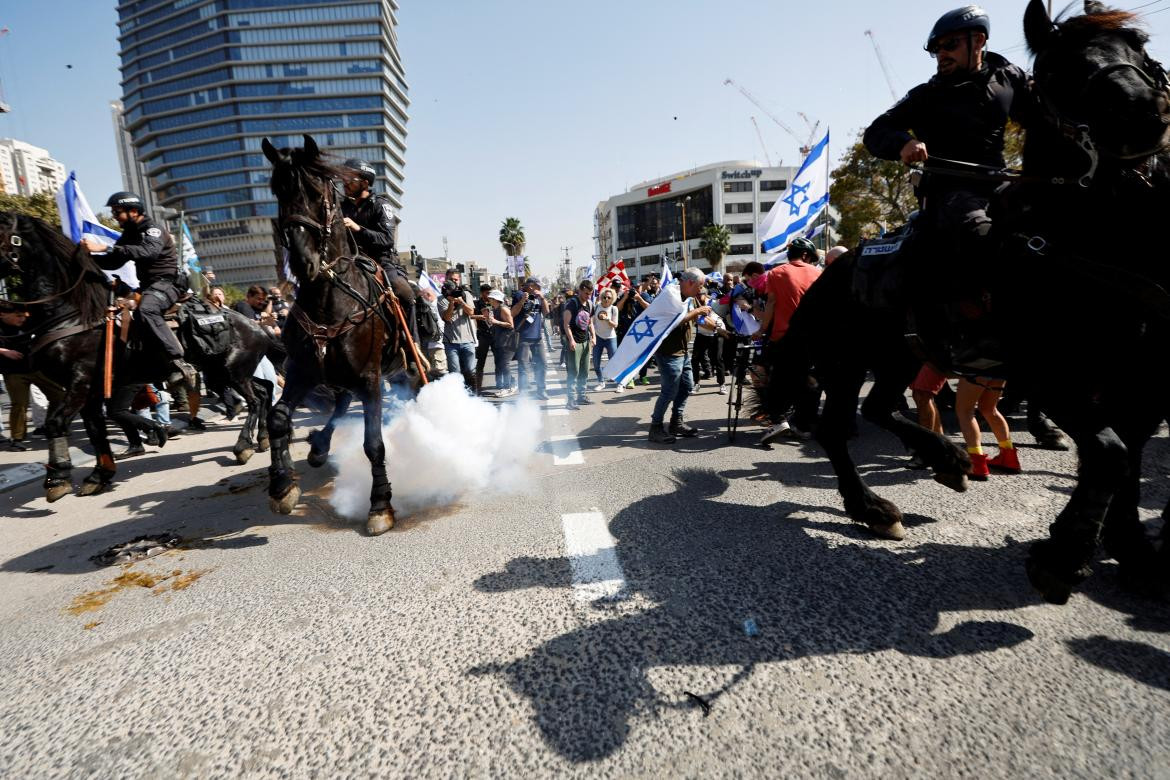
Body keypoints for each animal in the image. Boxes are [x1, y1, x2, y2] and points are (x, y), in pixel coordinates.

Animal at [0, 211, 285, 500]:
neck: (77, 313)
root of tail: (257, 325)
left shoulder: (80, 383)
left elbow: (57, 423)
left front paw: (58, 478)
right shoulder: (92, 390)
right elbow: (96, 429)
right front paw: (100, 474)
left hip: (232, 371)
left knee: (253, 400)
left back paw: (243, 445)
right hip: (223, 372)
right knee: (263, 392)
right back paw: (261, 437)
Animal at [260, 134, 421, 537]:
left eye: (318, 193)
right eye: (277, 190)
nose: (302, 263)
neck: (329, 297)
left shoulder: (370, 377)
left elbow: (374, 443)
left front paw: (380, 505)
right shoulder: (301, 372)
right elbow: (278, 418)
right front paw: (282, 486)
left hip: (399, 368)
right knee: (340, 404)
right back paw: (318, 447)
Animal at [753, 0, 1165, 603]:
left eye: (1139, 47)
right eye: (1058, 69)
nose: (1143, 112)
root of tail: (827, 276)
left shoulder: (1134, 381)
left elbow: (1127, 454)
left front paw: (1130, 548)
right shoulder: (1045, 372)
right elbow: (1110, 454)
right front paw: (1064, 555)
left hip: (898, 354)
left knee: (877, 409)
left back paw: (941, 460)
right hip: (847, 360)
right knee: (837, 426)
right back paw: (877, 504)